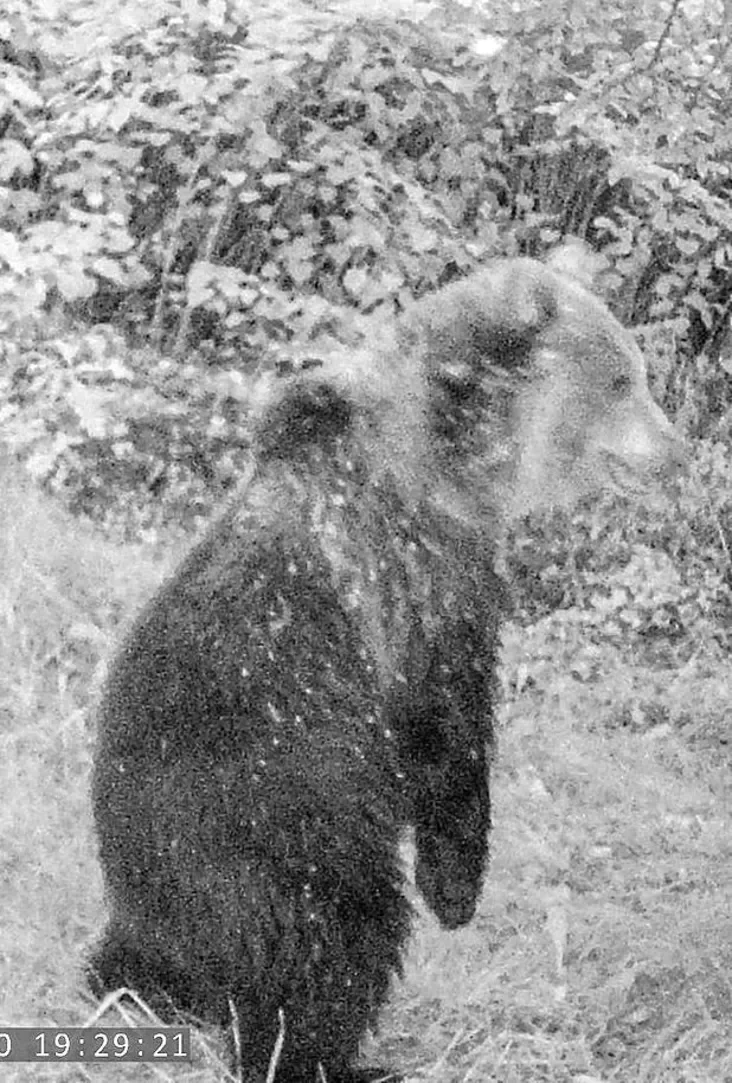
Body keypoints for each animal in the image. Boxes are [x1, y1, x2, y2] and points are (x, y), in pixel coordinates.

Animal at [87, 243, 683, 1082]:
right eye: (624, 378)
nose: (677, 451)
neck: (458, 458)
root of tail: (152, 932)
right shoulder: (417, 579)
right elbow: (450, 726)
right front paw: (457, 887)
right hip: (271, 842)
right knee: (332, 949)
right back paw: (339, 1058)